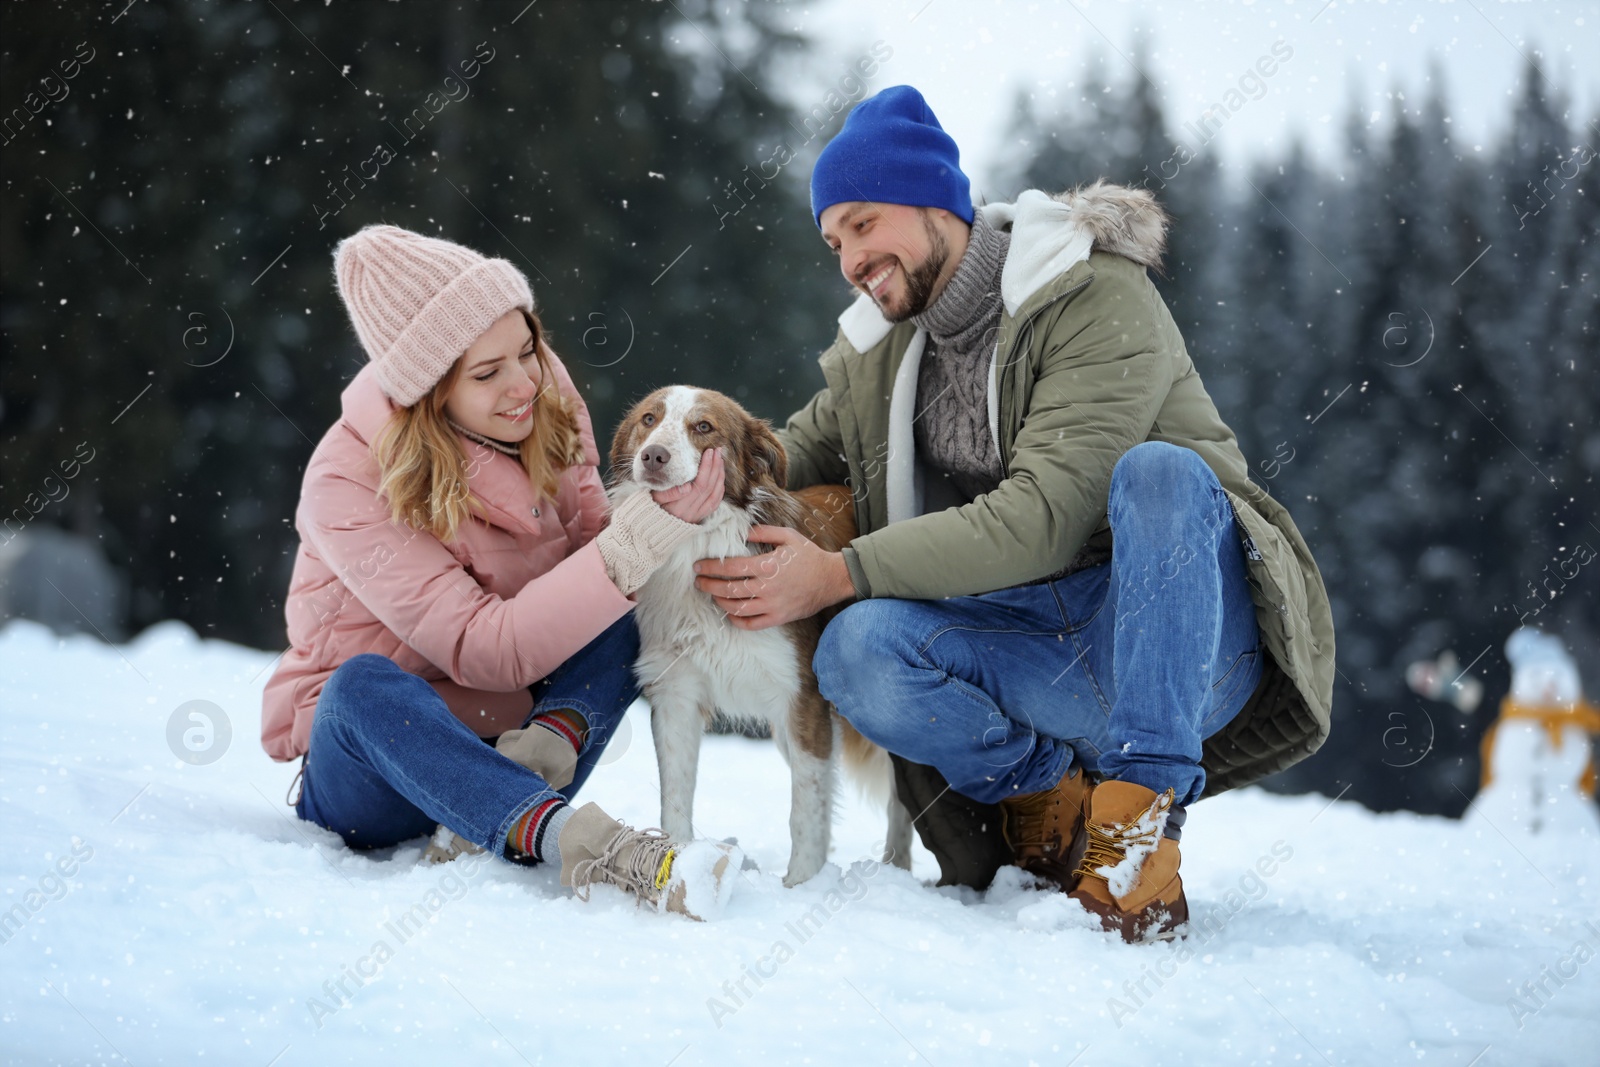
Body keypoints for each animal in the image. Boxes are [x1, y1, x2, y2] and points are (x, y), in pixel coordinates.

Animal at [611, 388, 915, 889]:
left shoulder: (803, 698)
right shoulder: (675, 695)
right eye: (649, 420)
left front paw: (801, 885)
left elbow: (806, 809)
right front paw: (671, 866)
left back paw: (897, 870)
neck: (701, 546)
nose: (653, 455)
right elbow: (675, 796)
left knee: (901, 800)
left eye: (704, 427)